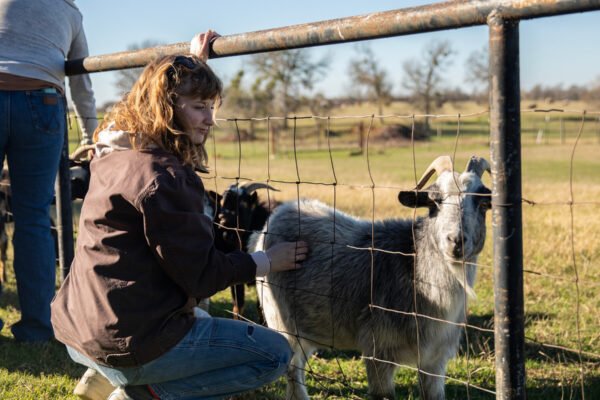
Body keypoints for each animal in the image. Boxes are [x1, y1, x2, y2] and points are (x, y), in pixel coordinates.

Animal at [251, 155, 492, 400]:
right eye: (435, 201)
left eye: (483, 203)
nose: (456, 241)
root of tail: (277, 215)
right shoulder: (379, 351)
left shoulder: (435, 360)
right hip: (281, 320)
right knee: (293, 369)